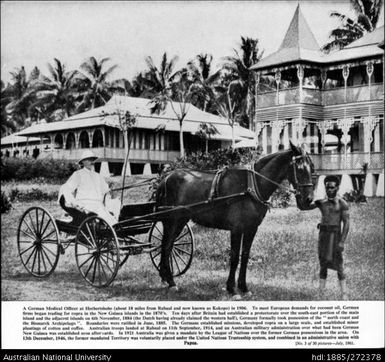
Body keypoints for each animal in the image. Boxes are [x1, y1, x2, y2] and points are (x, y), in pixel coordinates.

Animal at [154, 142, 314, 296]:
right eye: (299, 168)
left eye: (311, 168)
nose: (308, 200)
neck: (251, 185)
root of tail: (166, 178)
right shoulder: (236, 228)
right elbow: (235, 257)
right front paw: (232, 289)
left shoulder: (251, 228)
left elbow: (245, 256)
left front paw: (243, 287)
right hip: (173, 220)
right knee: (166, 246)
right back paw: (171, 282)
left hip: (180, 220)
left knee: (167, 246)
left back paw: (165, 278)